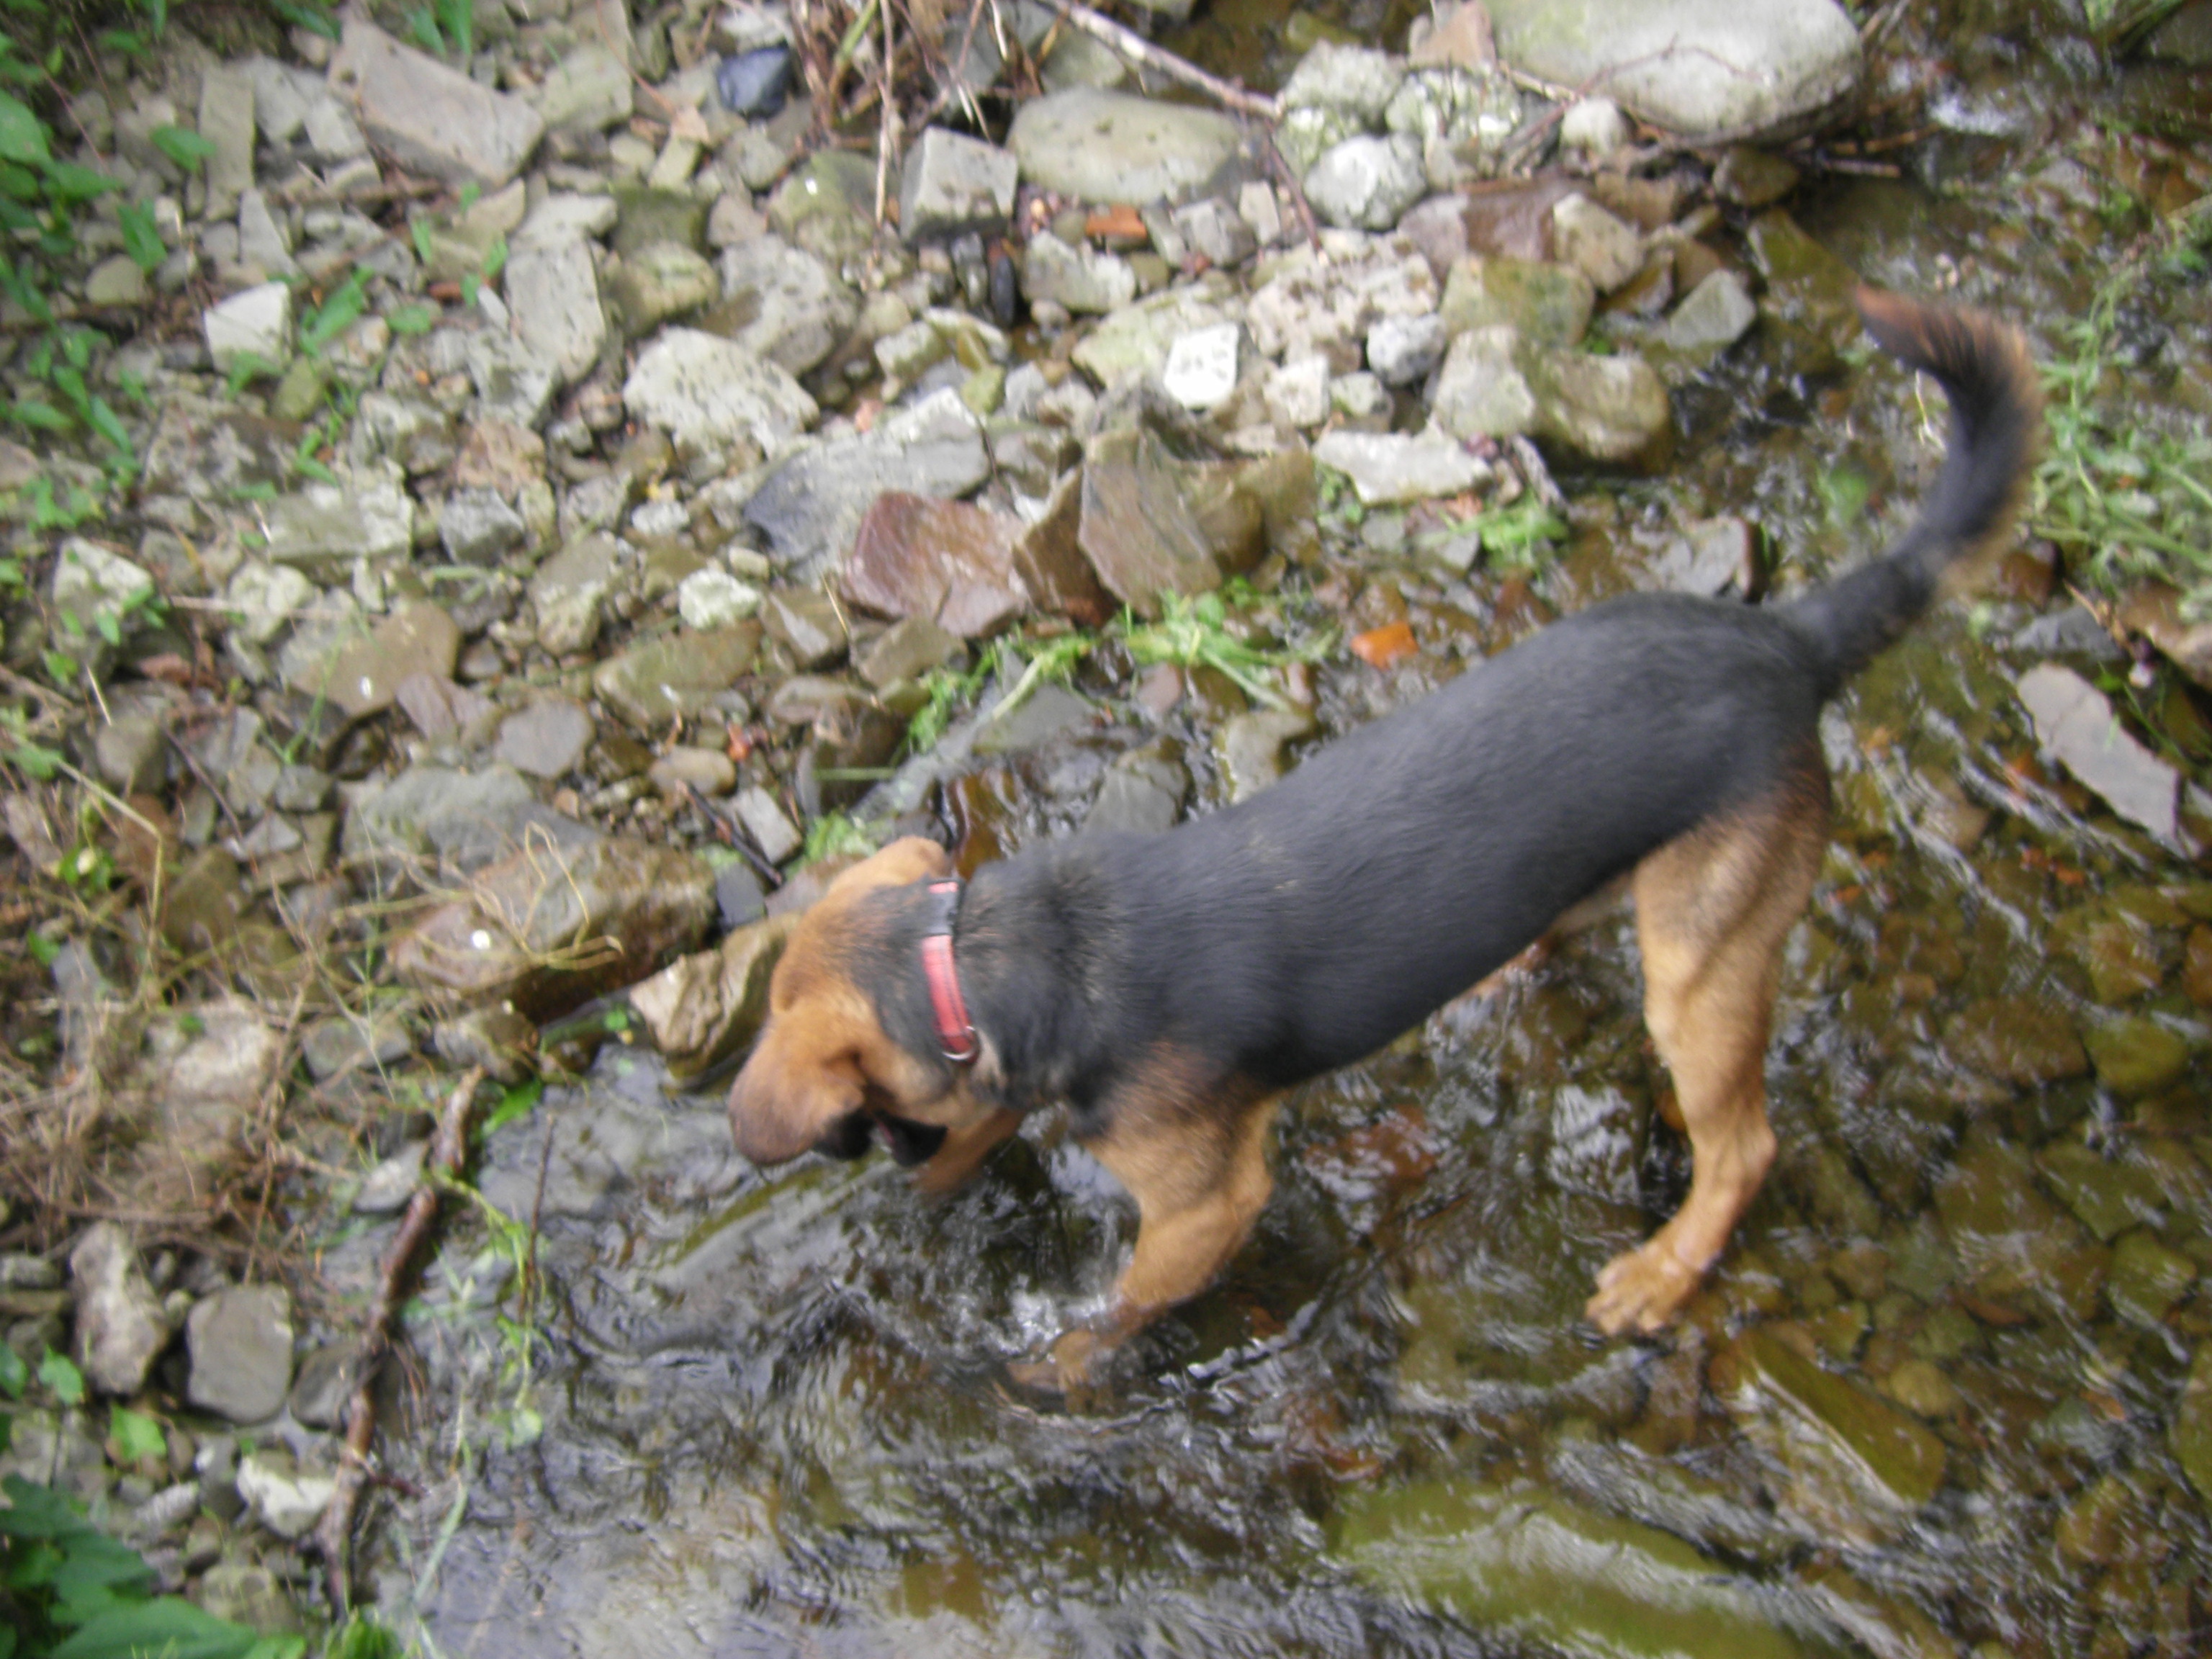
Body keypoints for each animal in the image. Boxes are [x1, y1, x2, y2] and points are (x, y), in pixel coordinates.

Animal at [725, 296, 2035, 1389]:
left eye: (860, 1123)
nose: (886, 1175)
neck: (977, 958)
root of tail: (1790, 640)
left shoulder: (1205, 1203)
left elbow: (1126, 1299)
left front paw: (1056, 1363)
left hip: (1702, 972)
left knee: (1743, 1147)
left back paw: (1667, 1268)